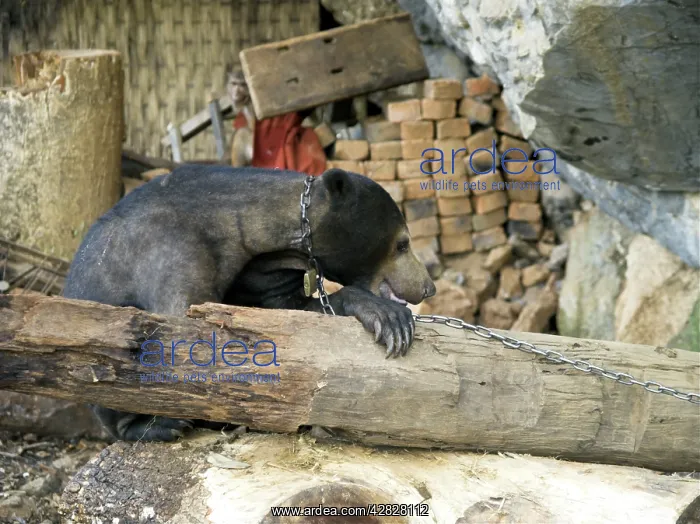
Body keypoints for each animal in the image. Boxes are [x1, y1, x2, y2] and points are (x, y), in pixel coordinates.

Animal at [63, 165, 436, 442]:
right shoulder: (171, 246)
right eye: (403, 244)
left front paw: (385, 318)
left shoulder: (264, 270)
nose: (428, 287)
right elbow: (188, 326)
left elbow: (288, 311)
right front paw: (394, 319)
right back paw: (164, 425)